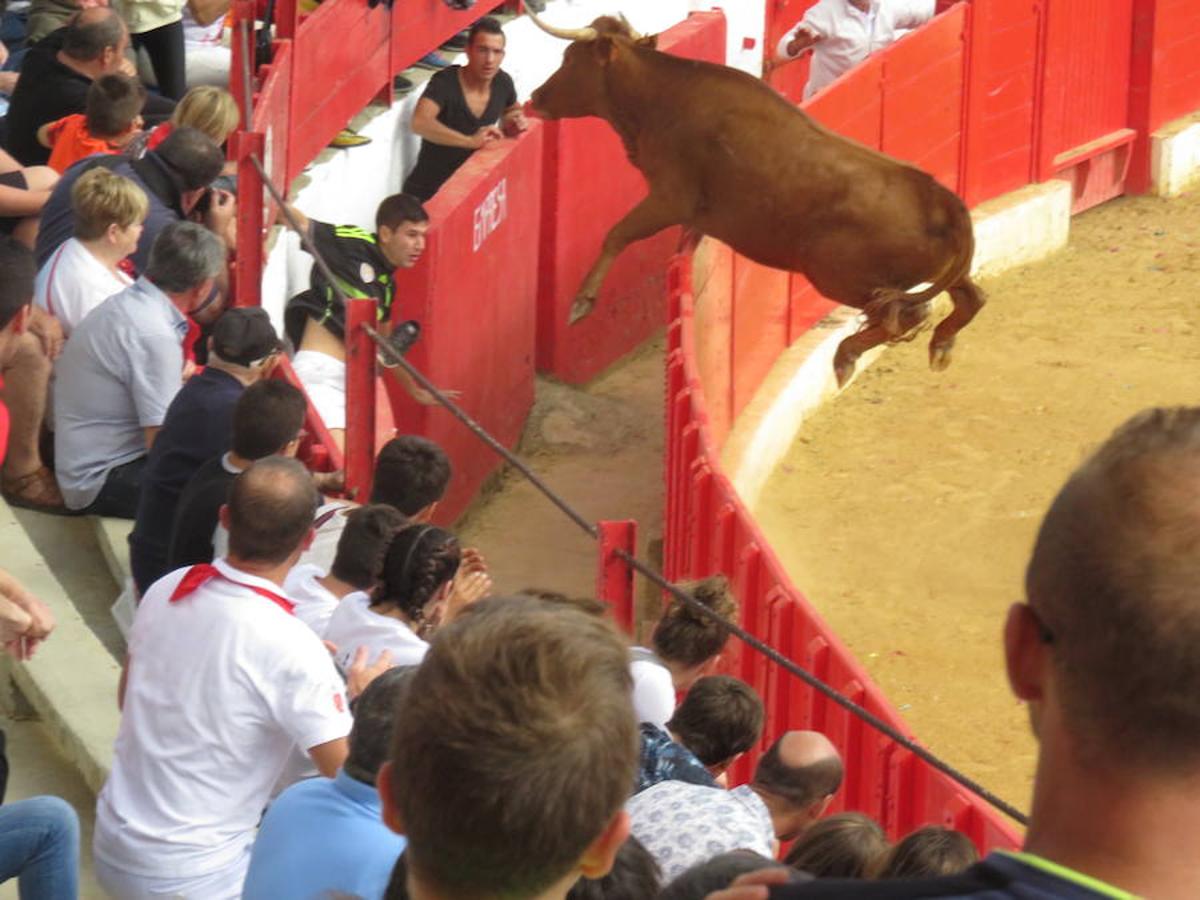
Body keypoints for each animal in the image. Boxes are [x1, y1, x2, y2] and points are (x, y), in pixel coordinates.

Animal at [528, 11, 984, 384]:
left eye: (570, 59)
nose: (535, 98)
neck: (663, 97)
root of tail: (939, 197)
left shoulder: (669, 197)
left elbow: (617, 234)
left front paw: (581, 303)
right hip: (930, 273)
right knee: (969, 297)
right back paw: (940, 346)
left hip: (835, 274)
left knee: (904, 316)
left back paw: (845, 357)